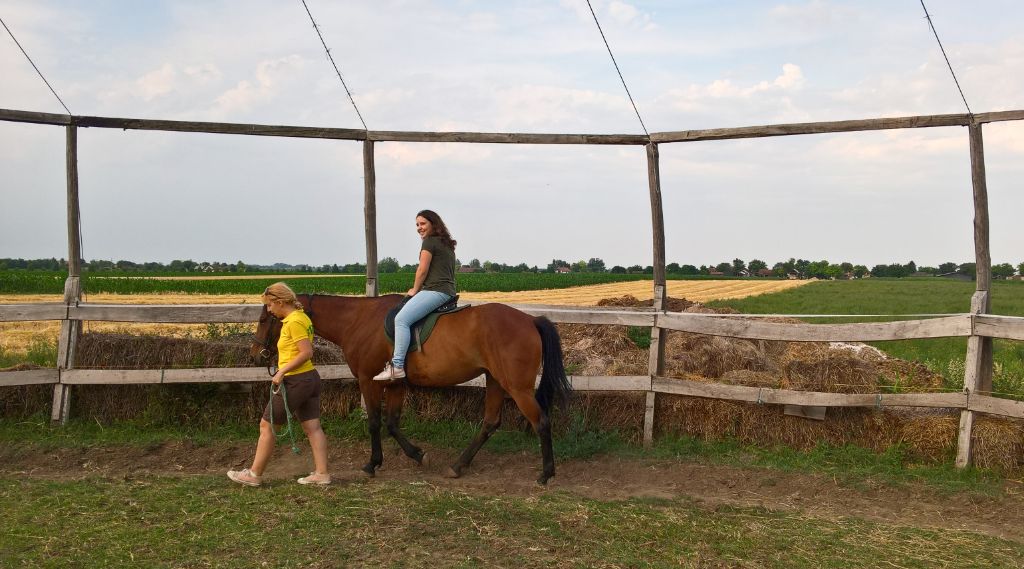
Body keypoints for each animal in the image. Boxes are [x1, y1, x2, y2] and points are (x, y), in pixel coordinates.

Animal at [246, 292, 569, 485]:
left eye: (263, 319)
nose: (256, 354)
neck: (359, 320)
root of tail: (530, 319)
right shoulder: (395, 383)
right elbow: (392, 423)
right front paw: (417, 454)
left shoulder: (368, 380)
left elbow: (375, 422)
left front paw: (372, 464)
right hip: (495, 380)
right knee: (490, 422)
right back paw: (458, 465)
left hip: (516, 386)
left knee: (541, 422)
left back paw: (546, 473)